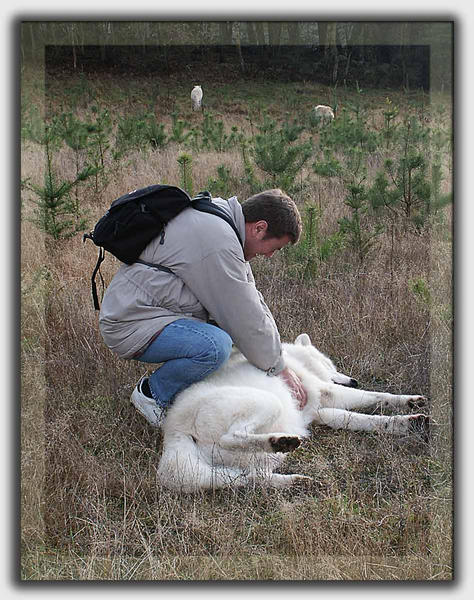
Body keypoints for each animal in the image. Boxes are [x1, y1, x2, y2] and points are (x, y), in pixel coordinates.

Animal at [157, 332, 428, 492]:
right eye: (330, 365)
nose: (354, 381)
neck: (295, 361)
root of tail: (174, 430)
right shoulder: (328, 393)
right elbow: (377, 397)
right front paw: (409, 402)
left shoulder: (322, 412)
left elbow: (365, 420)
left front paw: (404, 423)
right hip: (268, 404)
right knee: (233, 438)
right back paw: (279, 442)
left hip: (255, 461)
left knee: (253, 478)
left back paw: (297, 481)